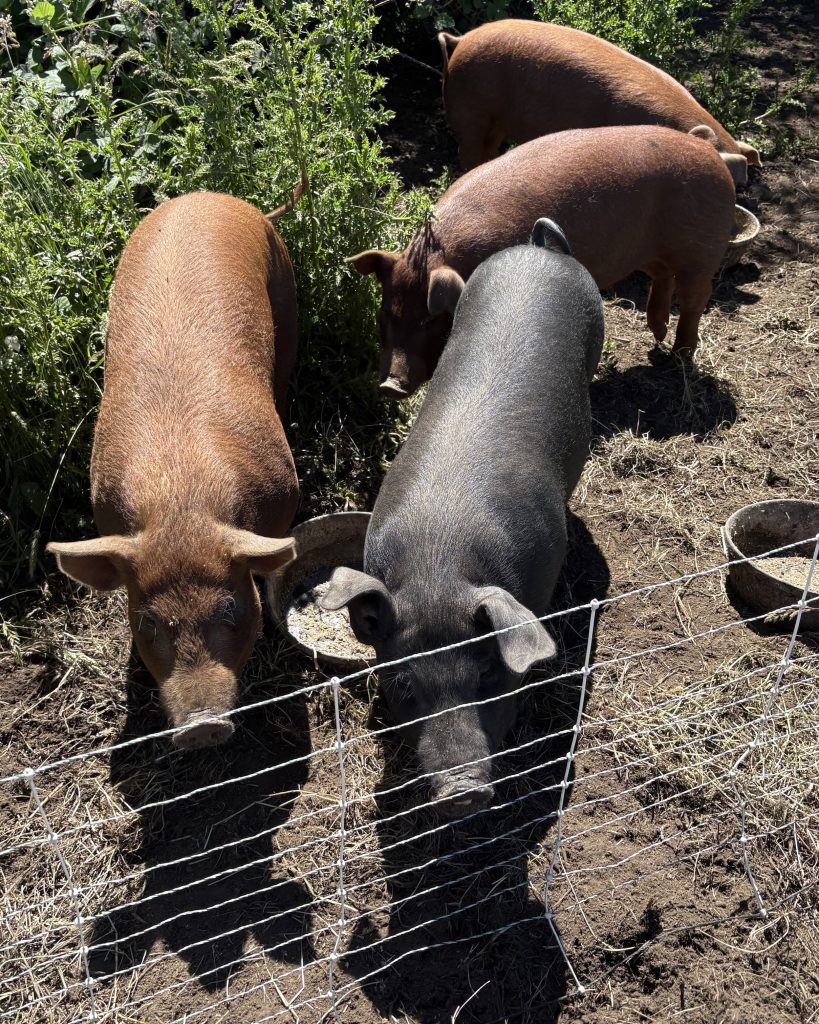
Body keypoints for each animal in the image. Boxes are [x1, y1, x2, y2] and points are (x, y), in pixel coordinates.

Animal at [47, 189, 301, 749]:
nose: (202, 726)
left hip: (286, 288)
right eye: (147, 623)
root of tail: (210, 197)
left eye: (230, 608)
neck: (180, 496)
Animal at [348, 124, 737, 397]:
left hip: (702, 252)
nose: (389, 385)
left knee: (695, 300)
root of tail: (707, 147)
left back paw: (678, 355)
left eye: (430, 320)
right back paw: (656, 337)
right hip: (650, 253)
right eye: (385, 314)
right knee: (662, 277)